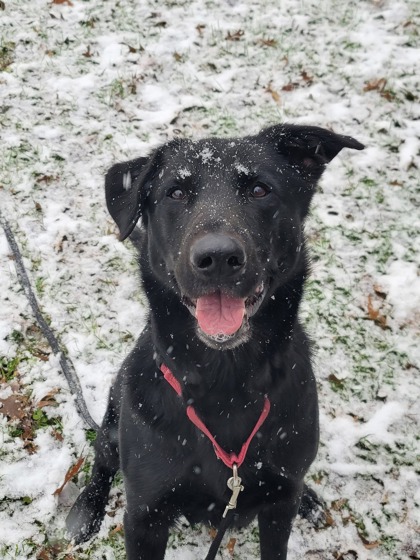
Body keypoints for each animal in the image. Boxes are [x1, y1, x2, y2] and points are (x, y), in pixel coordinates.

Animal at [66, 124, 363, 559]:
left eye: (260, 189)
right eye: (174, 193)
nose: (218, 257)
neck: (227, 383)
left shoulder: (278, 508)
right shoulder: (144, 517)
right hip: (112, 423)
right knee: (102, 461)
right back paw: (85, 510)